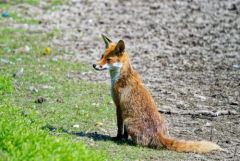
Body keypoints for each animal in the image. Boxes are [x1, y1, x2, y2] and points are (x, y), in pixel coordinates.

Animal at [93, 35, 222, 153]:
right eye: (102, 56)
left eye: (108, 59)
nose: (94, 65)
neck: (121, 76)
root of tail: (158, 134)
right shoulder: (123, 110)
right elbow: (123, 131)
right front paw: (123, 138)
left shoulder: (119, 107)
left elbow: (119, 127)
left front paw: (118, 138)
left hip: (129, 122)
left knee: (141, 144)